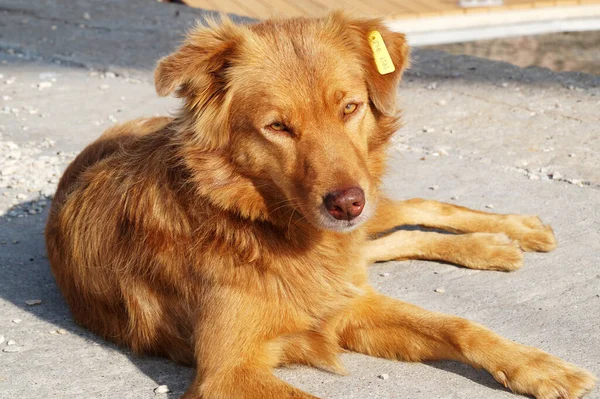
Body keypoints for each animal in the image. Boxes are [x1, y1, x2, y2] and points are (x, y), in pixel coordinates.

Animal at [45, 12, 596, 399]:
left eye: (349, 108)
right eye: (278, 127)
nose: (347, 204)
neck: (270, 231)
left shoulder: (349, 305)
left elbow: (460, 325)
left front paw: (540, 366)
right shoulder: (229, 373)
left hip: (372, 217)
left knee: (409, 211)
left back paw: (512, 233)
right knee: (390, 237)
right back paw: (493, 246)